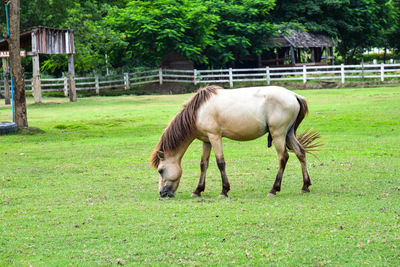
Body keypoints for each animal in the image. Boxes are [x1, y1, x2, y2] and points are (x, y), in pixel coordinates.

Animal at [151, 86, 322, 199]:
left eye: (160, 170)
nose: (162, 193)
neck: (198, 111)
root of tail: (294, 95)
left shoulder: (215, 137)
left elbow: (220, 163)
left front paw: (224, 191)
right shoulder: (206, 140)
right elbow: (203, 164)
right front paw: (198, 190)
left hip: (278, 134)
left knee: (283, 157)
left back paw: (274, 189)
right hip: (288, 133)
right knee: (300, 153)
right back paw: (305, 186)